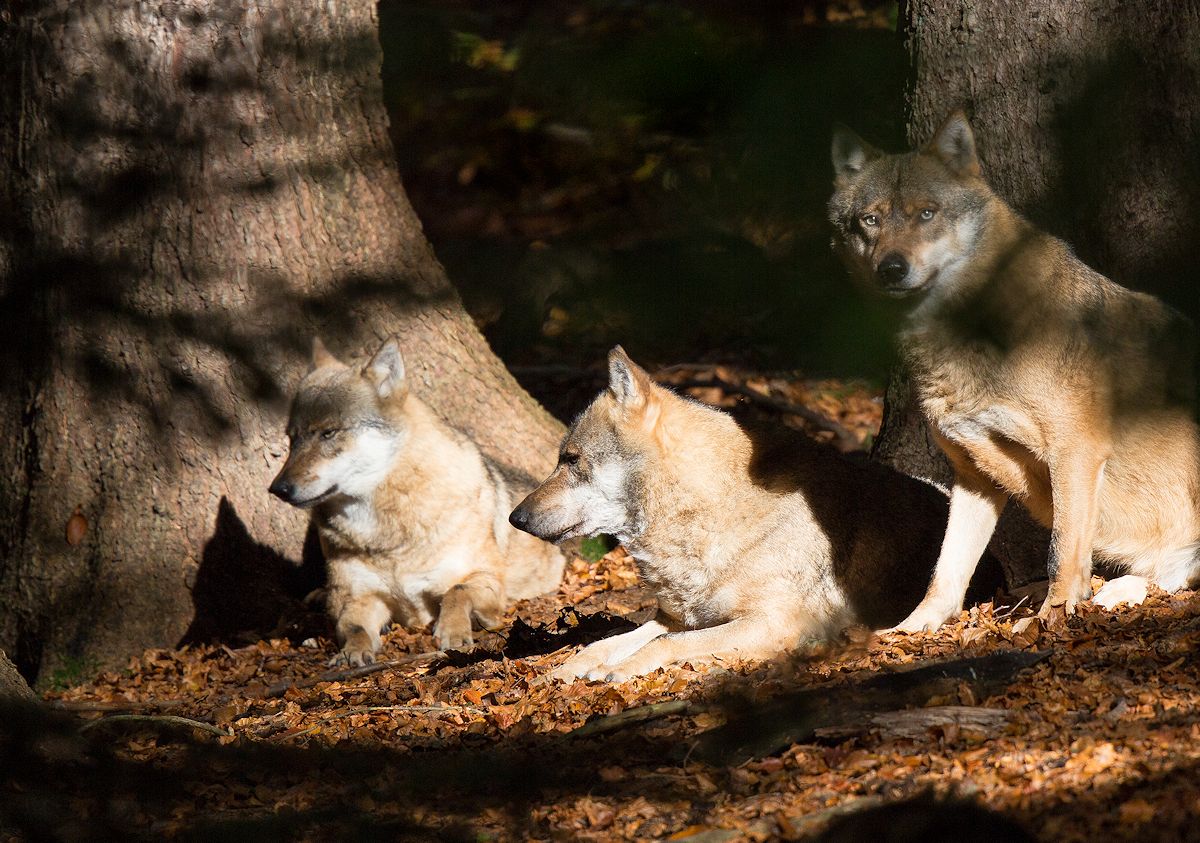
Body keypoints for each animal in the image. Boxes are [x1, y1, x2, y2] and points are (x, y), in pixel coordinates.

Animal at [270, 338, 564, 667]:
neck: (387, 538)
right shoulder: (361, 598)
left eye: (328, 433)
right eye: (292, 439)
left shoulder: (486, 579)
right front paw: (351, 653)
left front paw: (453, 632)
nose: (278, 489)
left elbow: (456, 592)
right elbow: (353, 627)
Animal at [506, 345, 993, 682]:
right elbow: (605, 644)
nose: (515, 519)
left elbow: (665, 644)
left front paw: (617, 671)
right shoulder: (676, 616)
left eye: (571, 460)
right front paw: (559, 673)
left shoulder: (773, 623)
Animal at [830, 109, 1200, 629]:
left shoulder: (1076, 453)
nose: (891, 268)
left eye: (927, 214)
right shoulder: (972, 475)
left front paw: (1052, 621)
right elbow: (945, 571)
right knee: (1164, 576)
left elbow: (1061, 552)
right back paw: (1116, 593)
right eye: (870, 220)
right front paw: (911, 631)